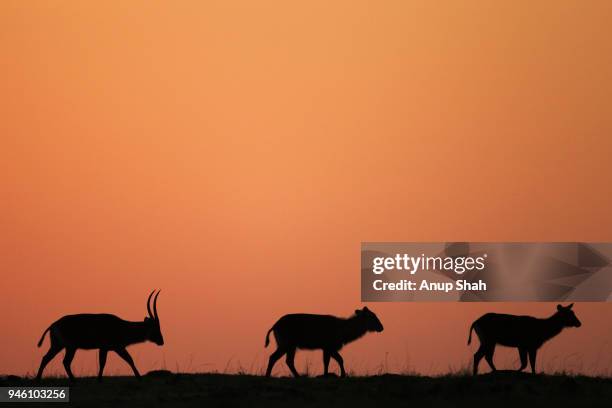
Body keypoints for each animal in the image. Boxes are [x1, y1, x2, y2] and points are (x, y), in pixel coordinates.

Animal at [35, 290, 164, 380]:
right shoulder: (108, 348)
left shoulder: (115, 348)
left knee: (51, 359)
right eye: (156, 327)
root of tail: (53, 324)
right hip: (68, 347)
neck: (121, 326)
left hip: (62, 346)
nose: (161, 341)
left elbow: (127, 360)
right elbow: (107, 362)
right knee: (62, 361)